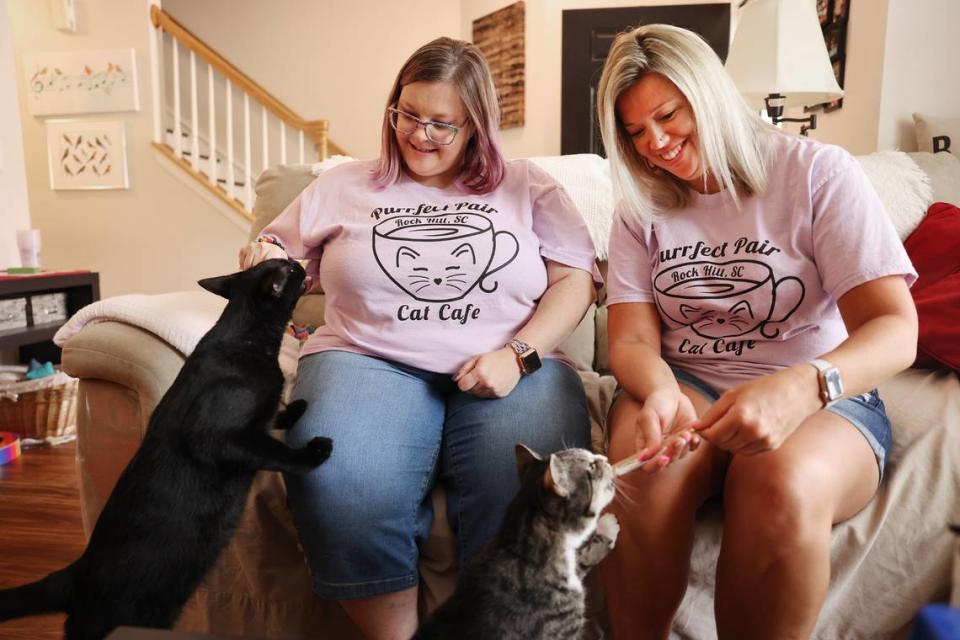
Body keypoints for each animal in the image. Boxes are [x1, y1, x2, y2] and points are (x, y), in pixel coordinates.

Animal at [0, 258, 334, 640]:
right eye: (287, 269)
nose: (296, 261)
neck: (243, 336)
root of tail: (76, 574)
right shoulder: (215, 436)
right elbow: (273, 452)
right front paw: (312, 452)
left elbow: (272, 418)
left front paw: (295, 407)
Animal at [416, 444, 620, 640]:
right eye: (591, 466)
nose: (605, 458)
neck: (519, 549)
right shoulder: (563, 629)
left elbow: (582, 557)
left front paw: (607, 527)